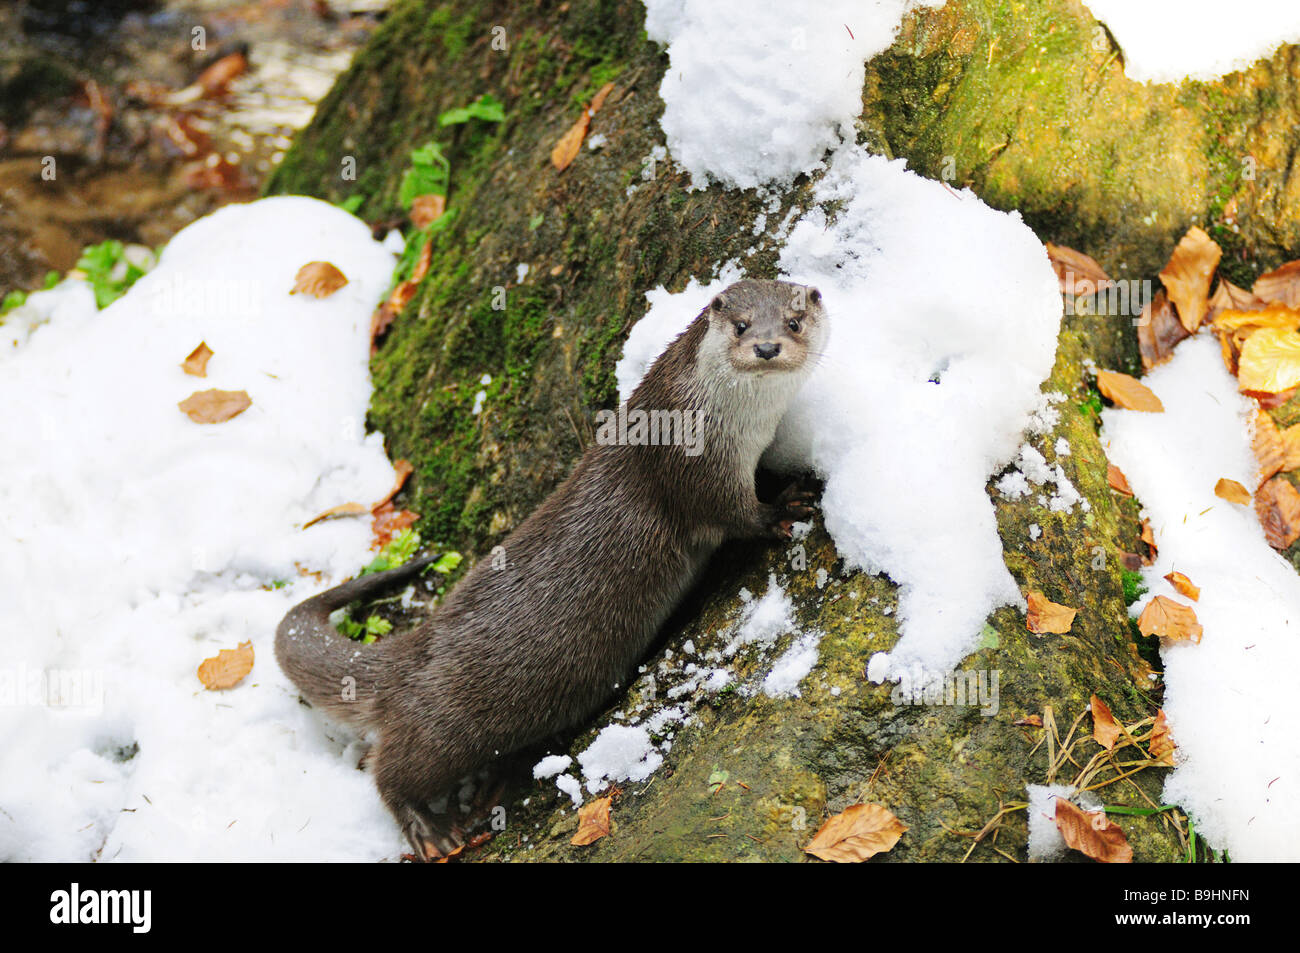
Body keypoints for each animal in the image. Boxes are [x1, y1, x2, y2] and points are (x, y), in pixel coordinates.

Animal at [275, 278, 826, 858]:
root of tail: (413, 650)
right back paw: (432, 830)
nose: (766, 346)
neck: (700, 416)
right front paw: (783, 505)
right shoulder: (694, 470)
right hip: (444, 726)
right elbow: (735, 514)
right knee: (390, 769)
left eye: (793, 322)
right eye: (741, 326)